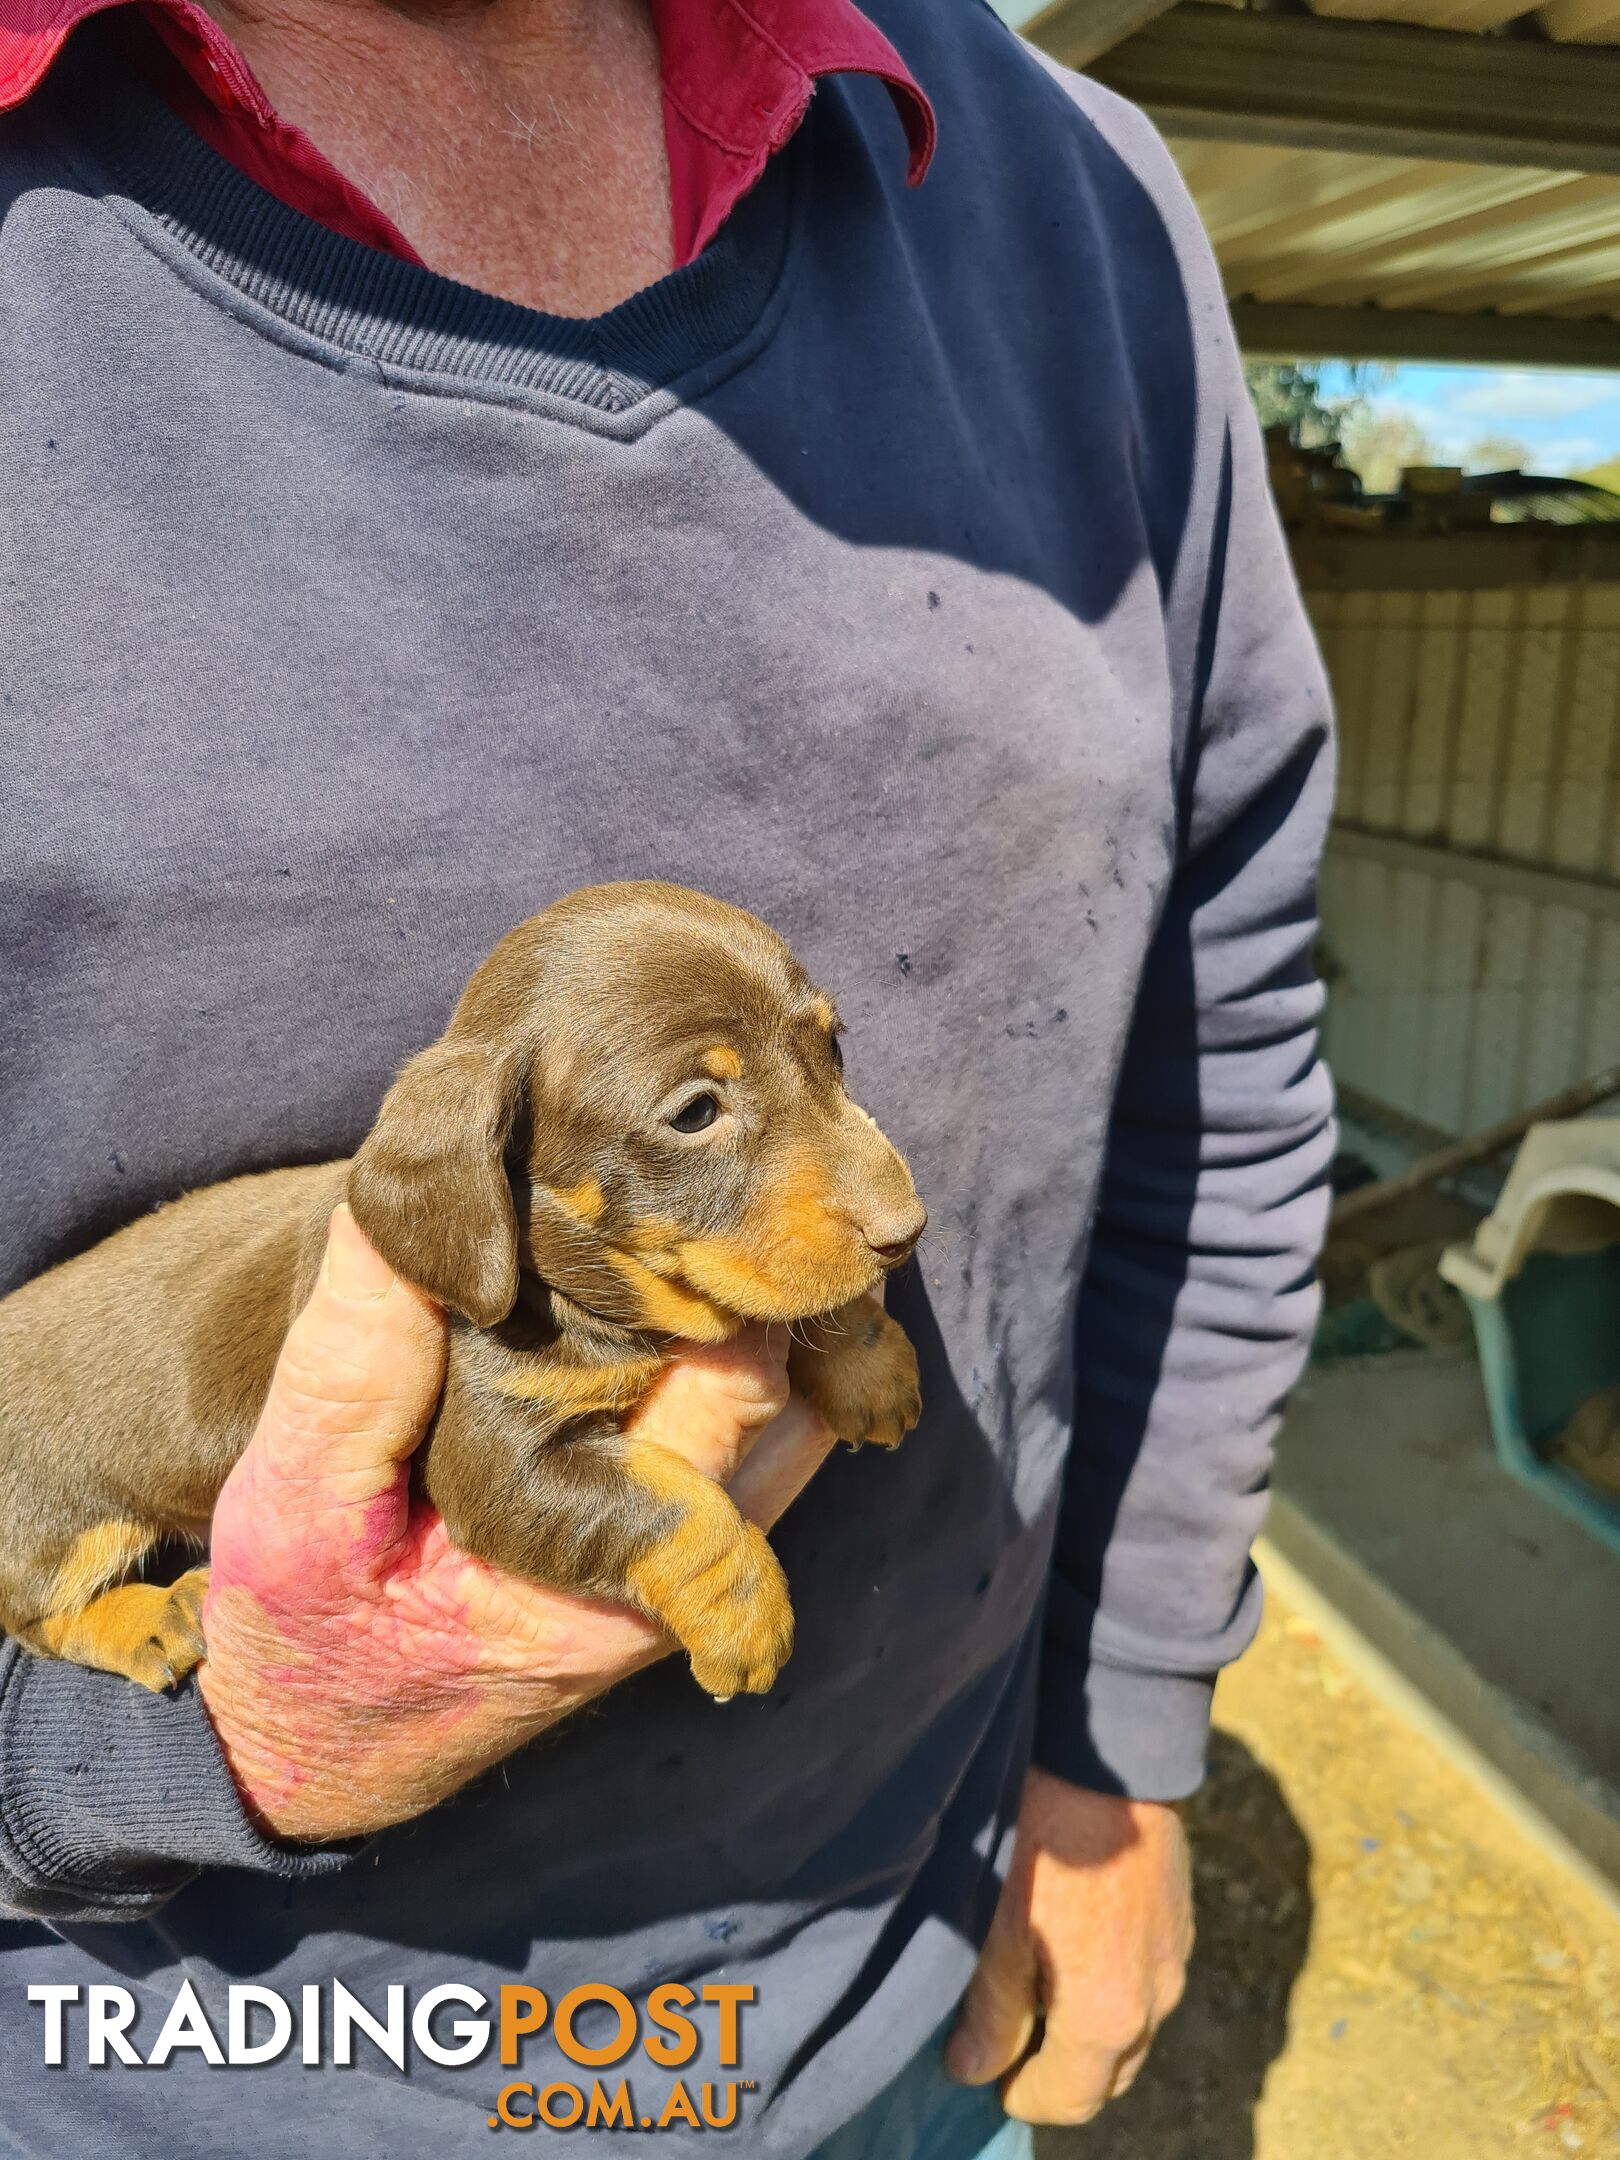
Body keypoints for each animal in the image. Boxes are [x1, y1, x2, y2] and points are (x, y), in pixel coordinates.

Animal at [0, 885, 924, 1693]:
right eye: (696, 1112)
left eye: (833, 1049)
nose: (908, 1230)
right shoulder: (500, 1463)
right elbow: (671, 1506)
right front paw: (744, 1614)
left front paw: (867, 1359)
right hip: (63, 1521)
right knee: (39, 1615)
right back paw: (148, 1619)